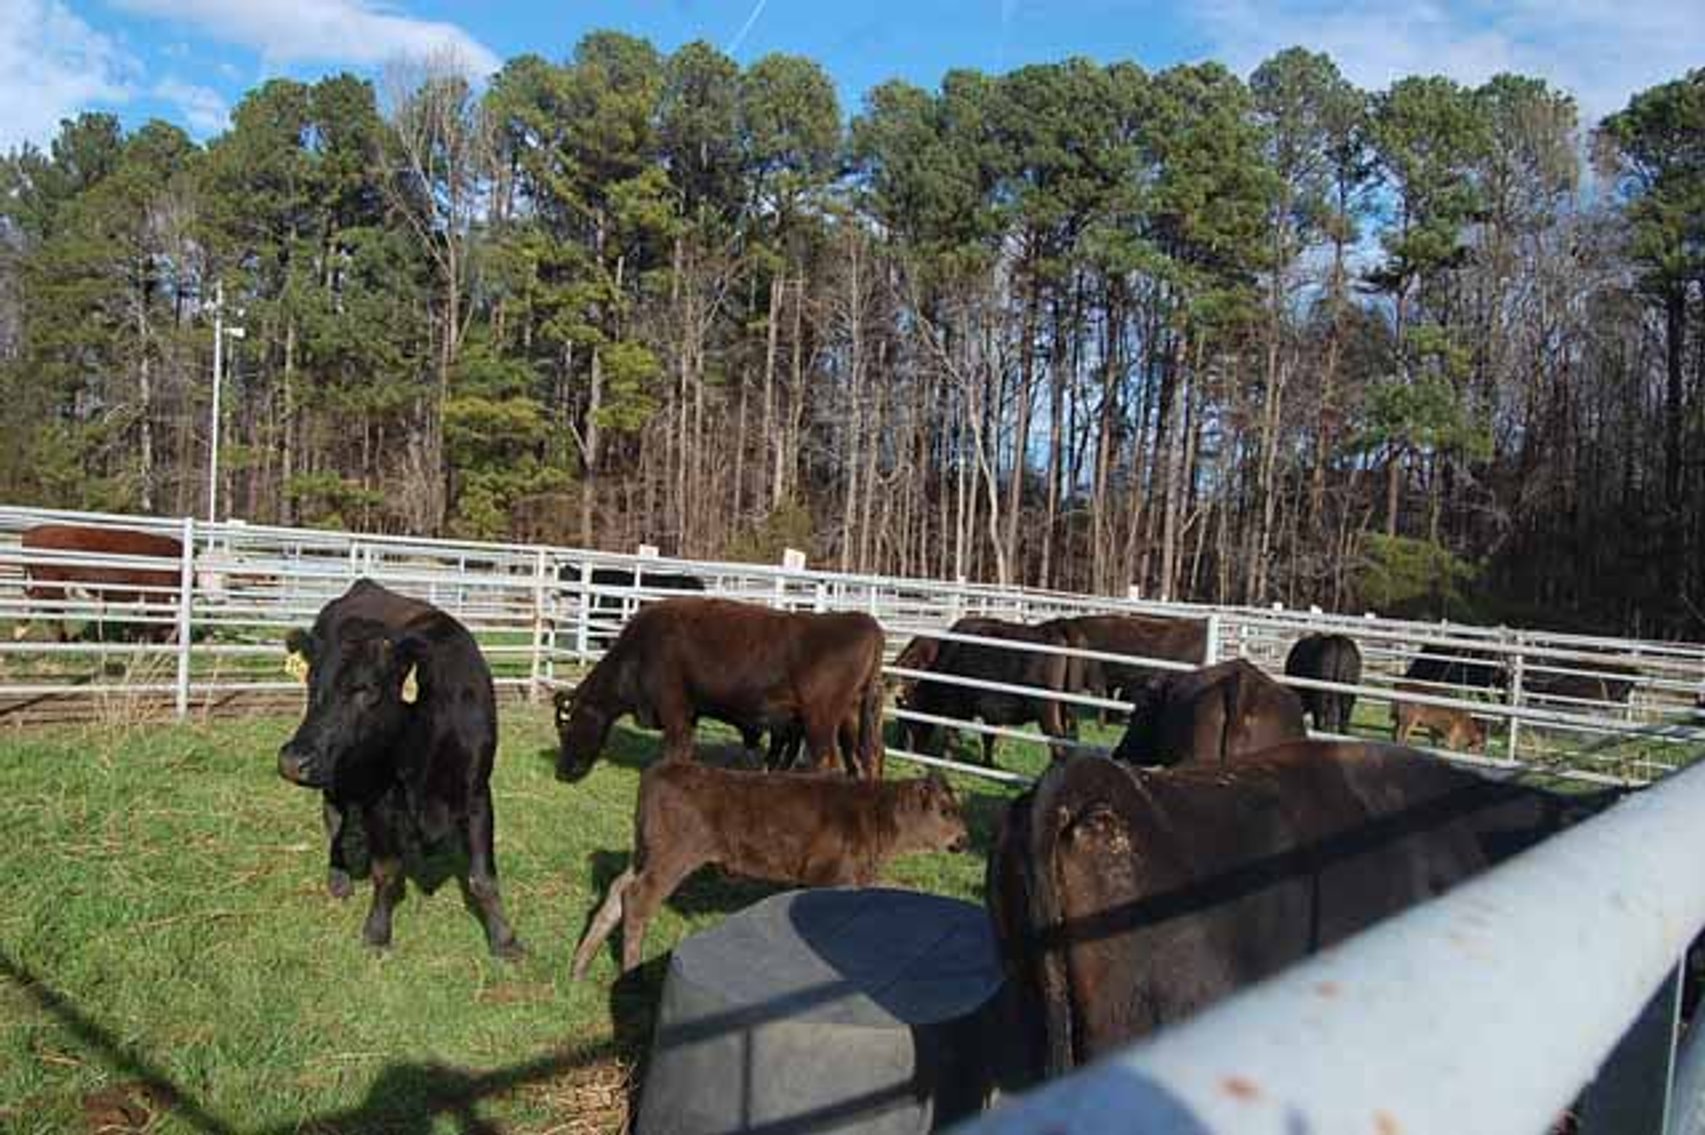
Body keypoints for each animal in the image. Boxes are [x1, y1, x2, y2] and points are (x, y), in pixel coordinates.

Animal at [277, 579, 523, 959]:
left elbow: (483, 877)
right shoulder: (380, 798)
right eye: (312, 684)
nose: (292, 761)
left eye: (367, 689)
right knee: (334, 817)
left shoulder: (478, 792)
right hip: (337, 774)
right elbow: (387, 870)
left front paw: (505, 939)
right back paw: (339, 878)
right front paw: (377, 932)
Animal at [554, 598, 887, 781]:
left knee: (827, 761)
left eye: (567, 728)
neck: (640, 650)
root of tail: (865, 622)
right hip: (851, 718)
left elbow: (675, 749)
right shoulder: (688, 713)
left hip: (820, 719)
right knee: (867, 757)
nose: (563, 772)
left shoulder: (673, 708)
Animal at [570, 764, 968, 978]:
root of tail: (664, 769)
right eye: (945, 810)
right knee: (637, 899)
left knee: (616, 892)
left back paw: (579, 967)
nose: (965, 839)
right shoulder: (831, 876)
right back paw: (630, 972)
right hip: (672, 857)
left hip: (645, 853)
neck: (874, 818)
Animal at [899, 616, 1078, 767]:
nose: (905, 749)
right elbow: (988, 737)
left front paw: (946, 762)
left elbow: (952, 734)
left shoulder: (956, 707)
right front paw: (987, 762)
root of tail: (1055, 628)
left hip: (1047, 712)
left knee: (1057, 745)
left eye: (906, 704)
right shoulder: (991, 713)